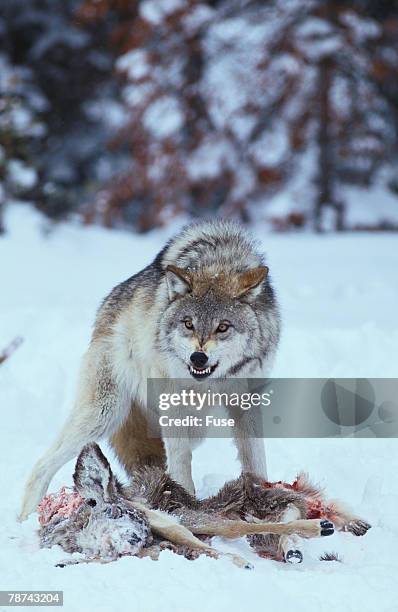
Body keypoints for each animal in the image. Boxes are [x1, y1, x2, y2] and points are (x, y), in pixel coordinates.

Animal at [18, 218, 280, 520]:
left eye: (223, 327)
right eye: (188, 323)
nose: (198, 358)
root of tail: (106, 307)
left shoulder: (247, 402)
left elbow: (255, 458)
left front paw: (264, 496)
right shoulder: (173, 404)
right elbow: (181, 461)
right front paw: (186, 504)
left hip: (191, 426)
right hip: (104, 414)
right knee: (42, 464)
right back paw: (26, 518)